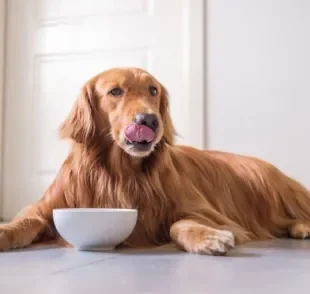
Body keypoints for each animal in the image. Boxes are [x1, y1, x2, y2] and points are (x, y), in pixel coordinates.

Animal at [0, 67, 310, 255]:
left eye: (153, 90)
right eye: (115, 91)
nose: (149, 120)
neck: (120, 172)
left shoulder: (211, 214)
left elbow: (179, 223)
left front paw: (207, 237)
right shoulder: (48, 206)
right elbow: (26, 221)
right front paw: (5, 232)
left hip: (270, 184)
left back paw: (302, 226)